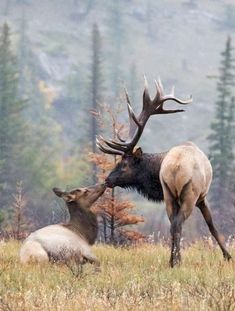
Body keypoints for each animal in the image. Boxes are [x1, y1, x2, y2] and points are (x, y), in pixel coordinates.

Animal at [96, 78, 232, 268]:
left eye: (124, 164)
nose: (108, 180)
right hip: (190, 193)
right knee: (178, 223)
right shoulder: (202, 197)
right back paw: (178, 260)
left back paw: (172, 260)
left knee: (172, 224)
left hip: (168, 193)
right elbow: (212, 225)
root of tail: (175, 167)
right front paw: (227, 256)